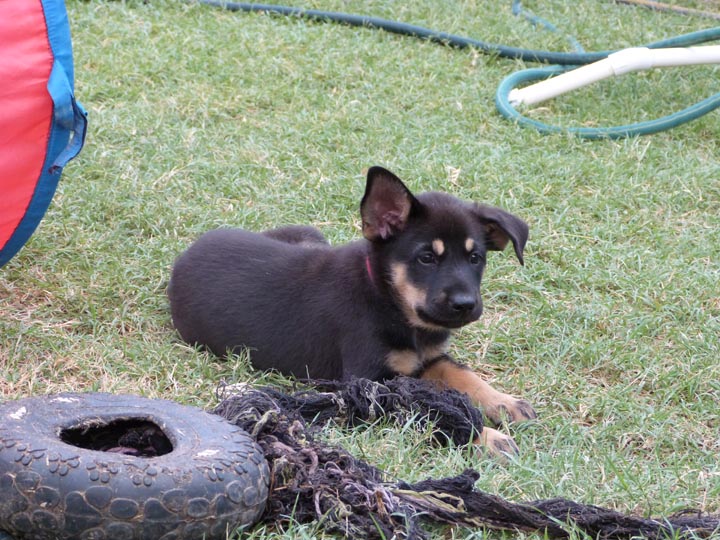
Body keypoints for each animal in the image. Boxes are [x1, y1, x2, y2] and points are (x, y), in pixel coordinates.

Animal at [170, 166, 536, 456]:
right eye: (426, 258)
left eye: (476, 259)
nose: (465, 305)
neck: (387, 300)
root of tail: (186, 253)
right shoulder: (369, 382)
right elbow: (427, 409)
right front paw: (485, 437)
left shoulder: (429, 359)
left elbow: (463, 374)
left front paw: (505, 403)